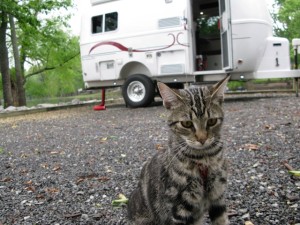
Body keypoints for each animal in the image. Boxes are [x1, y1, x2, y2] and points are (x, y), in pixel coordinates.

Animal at [128, 76, 230, 225]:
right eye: (186, 123)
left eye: (212, 121)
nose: (202, 139)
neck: (204, 159)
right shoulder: (179, 207)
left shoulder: (218, 196)